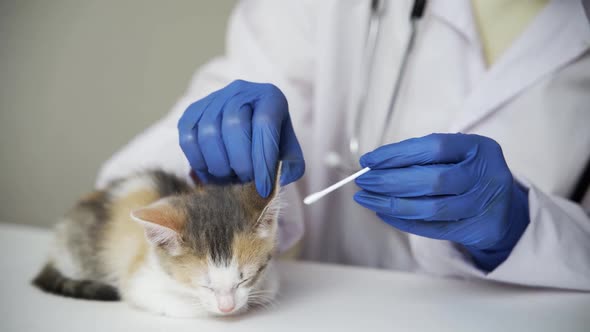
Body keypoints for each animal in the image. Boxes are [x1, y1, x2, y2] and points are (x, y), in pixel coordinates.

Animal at [32, 170, 282, 318]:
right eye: (205, 286)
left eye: (245, 279)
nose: (227, 307)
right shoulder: (140, 282)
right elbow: (191, 307)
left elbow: (268, 288)